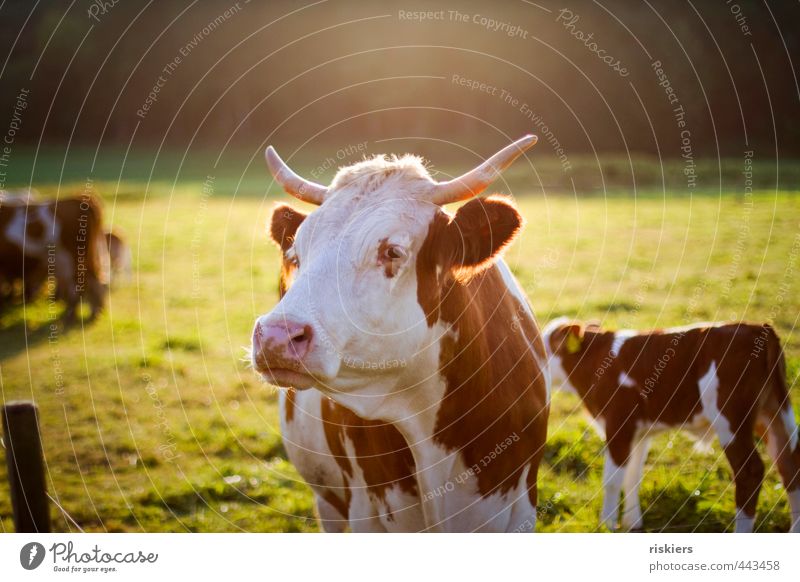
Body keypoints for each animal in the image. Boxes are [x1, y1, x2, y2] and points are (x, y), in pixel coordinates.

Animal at [252, 137, 552, 532]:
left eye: (392, 251)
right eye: (296, 253)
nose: (275, 337)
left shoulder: (520, 507)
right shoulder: (365, 509)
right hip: (327, 501)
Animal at [544, 320, 800, 532]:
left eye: (543, 346)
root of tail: (758, 327)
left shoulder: (619, 425)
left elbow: (612, 480)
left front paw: (606, 525)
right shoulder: (640, 432)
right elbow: (633, 477)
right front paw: (632, 523)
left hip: (732, 419)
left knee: (750, 471)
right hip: (772, 412)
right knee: (789, 464)